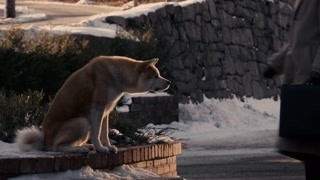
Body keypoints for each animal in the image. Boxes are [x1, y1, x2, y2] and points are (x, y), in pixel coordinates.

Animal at [15, 55, 170, 153]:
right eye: (156, 76)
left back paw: (85, 146)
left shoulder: (106, 111)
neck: (117, 75)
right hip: (82, 122)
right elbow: (97, 133)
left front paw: (108, 147)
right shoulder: (97, 109)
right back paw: (78, 149)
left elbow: (105, 133)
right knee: (56, 147)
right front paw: (100, 149)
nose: (169, 82)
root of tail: (44, 140)